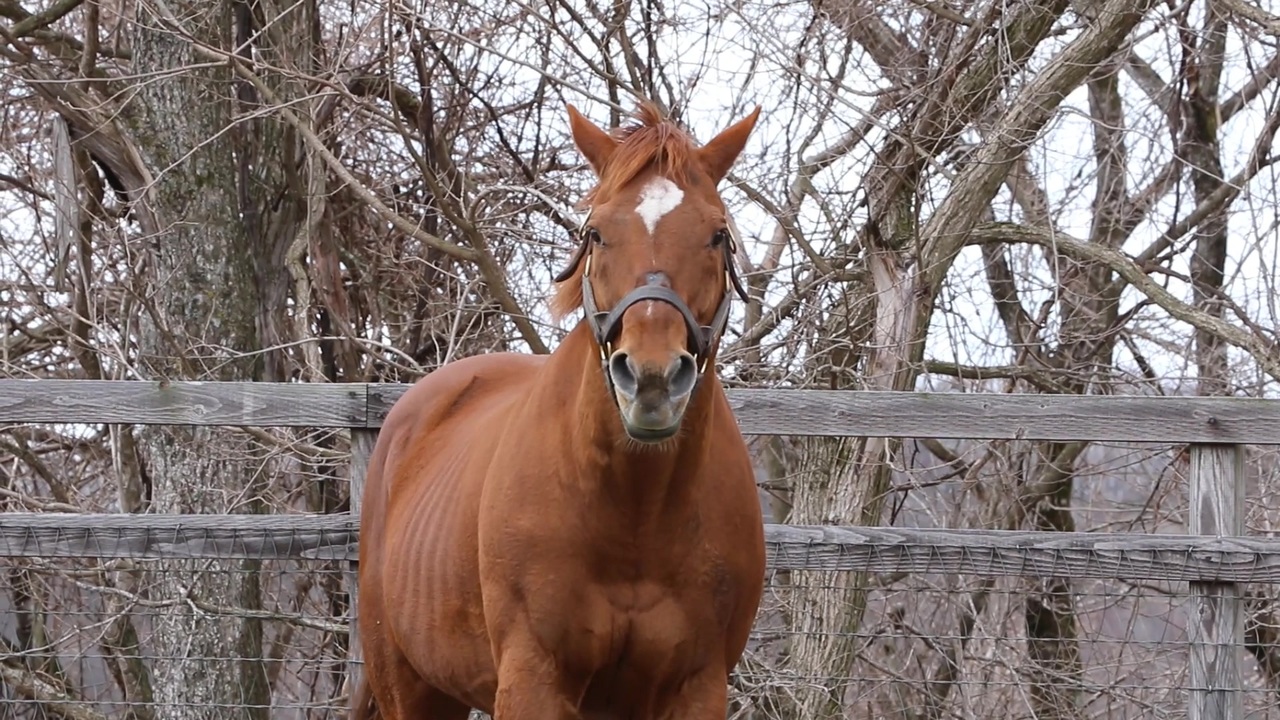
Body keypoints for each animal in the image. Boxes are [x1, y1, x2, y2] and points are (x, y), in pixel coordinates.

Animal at [350, 99, 762, 717]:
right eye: (595, 233)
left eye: (718, 235)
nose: (652, 380)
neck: (636, 513)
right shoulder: (533, 679)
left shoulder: (698, 688)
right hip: (410, 687)